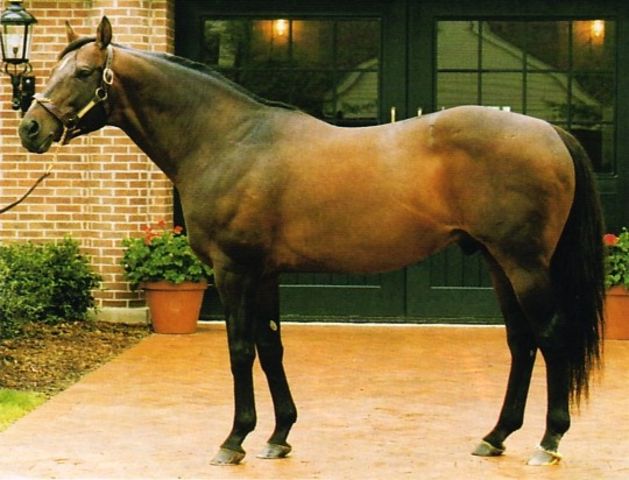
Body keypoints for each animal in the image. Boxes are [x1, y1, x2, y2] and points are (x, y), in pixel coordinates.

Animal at [18, 17, 606, 467]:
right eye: (53, 70)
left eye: (85, 73)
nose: (29, 129)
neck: (229, 139)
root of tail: (549, 131)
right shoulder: (265, 272)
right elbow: (271, 347)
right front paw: (278, 436)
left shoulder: (233, 270)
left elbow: (240, 350)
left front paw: (234, 441)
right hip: (496, 262)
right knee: (522, 343)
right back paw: (496, 436)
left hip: (524, 264)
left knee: (550, 336)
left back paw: (548, 441)